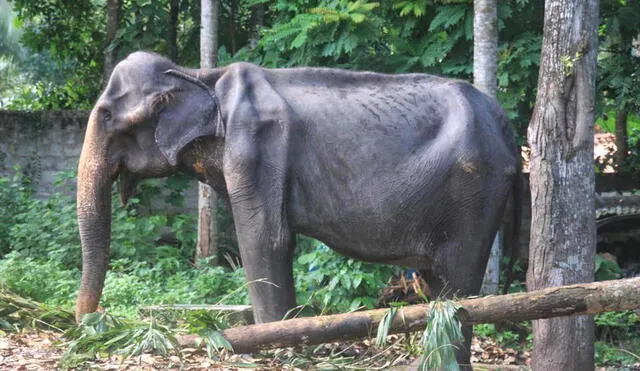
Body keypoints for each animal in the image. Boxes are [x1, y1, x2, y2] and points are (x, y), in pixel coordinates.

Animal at [77, 50, 524, 368]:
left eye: (107, 115)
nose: (87, 331)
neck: (201, 75)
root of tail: (506, 126)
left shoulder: (256, 150)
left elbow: (265, 239)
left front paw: (274, 353)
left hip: (475, 191)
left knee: (457, 283)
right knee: (437, 283)